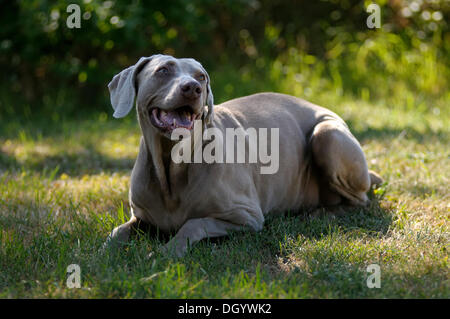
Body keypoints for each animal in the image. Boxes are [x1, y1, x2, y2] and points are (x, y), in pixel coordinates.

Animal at [103, 54, 382, 258]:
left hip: (327, 135)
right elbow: (116, 232)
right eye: (163, 70)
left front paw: (167, 251)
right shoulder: (141, 216)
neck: (171, 165)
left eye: (201, 76)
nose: (193, 88)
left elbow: (193, 224)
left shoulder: (246, 216)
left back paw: (321, 213)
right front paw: (104, 250)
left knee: (360, 201)